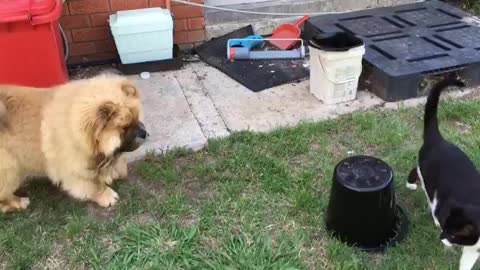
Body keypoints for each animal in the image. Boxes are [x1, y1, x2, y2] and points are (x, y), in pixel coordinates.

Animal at [0, 75, 147, 212]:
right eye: (125, 127)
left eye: (137, 118)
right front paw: (107, 196)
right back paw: (19, 202)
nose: (145, 133)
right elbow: (93, 186)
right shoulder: (75, 169)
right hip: (11, 171)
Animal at [406, 77, 480, 270]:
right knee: (418, 174)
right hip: (429, 178)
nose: (441, 237)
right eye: (447, 230)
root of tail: (438, 139)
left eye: (453, 235)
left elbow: (467, 262)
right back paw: (411, 185)